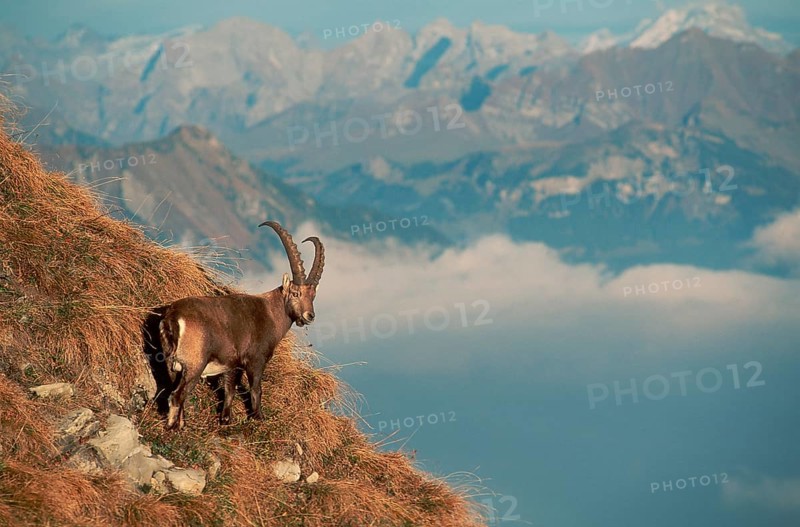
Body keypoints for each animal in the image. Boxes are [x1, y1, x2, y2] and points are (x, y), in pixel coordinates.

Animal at [159, 221, 324, 430]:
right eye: (296, 293)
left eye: (313, 296)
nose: (309, 316)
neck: (272, 313)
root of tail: (174, 317)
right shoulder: (255, 360)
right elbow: (256, 389)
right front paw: (259, 418)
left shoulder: (233, 365)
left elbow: (230, 391)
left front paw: (225, 421)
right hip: (195, 364)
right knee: (177, 396)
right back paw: (174, 429)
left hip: (171, 362)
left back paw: (181, 424)